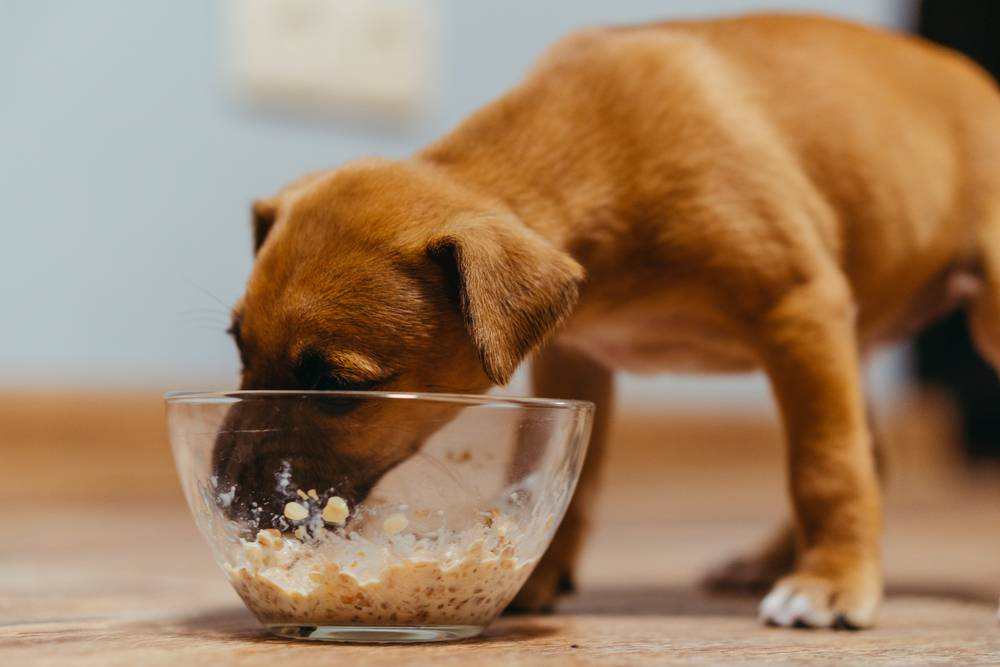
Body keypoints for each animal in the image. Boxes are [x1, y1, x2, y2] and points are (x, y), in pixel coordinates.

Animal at [219, 15, 1000, 632]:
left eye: (336, 384)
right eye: (238, 350)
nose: (229, 497)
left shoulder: (798, 307)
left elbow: (825, 466)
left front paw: (832, 582)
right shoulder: (576, 352)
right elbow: (559, 475)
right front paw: (534, 575)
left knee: (855, 452)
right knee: (875, 449)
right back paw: (763, 560)